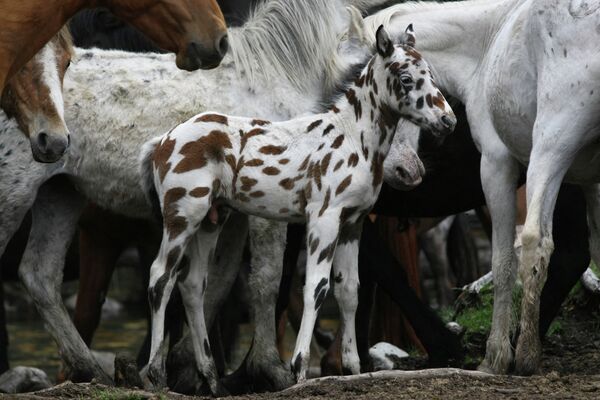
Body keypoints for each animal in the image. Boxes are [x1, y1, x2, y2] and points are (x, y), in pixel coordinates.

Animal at [141, 25, 458, 394]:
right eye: (406, 78)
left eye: (431, 75)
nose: (448, 120)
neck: (352, 139)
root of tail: (163, 140)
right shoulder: (323, 220)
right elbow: (316, 289)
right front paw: (300, 368)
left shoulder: (353, 224)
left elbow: (349, 291)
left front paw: (352, 368)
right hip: (181, 216)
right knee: (160, 278)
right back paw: (155, 373)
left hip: (210, 221)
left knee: (192, 286)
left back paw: (210, 377)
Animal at [364, 0, 600, 376]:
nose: (403, 172)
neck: (484, 47)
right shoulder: (588, 176)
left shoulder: (495, 163)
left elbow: (503, 260)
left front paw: (494, 357)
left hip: (552, 146)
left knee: (536, 242)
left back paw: (526, 354)